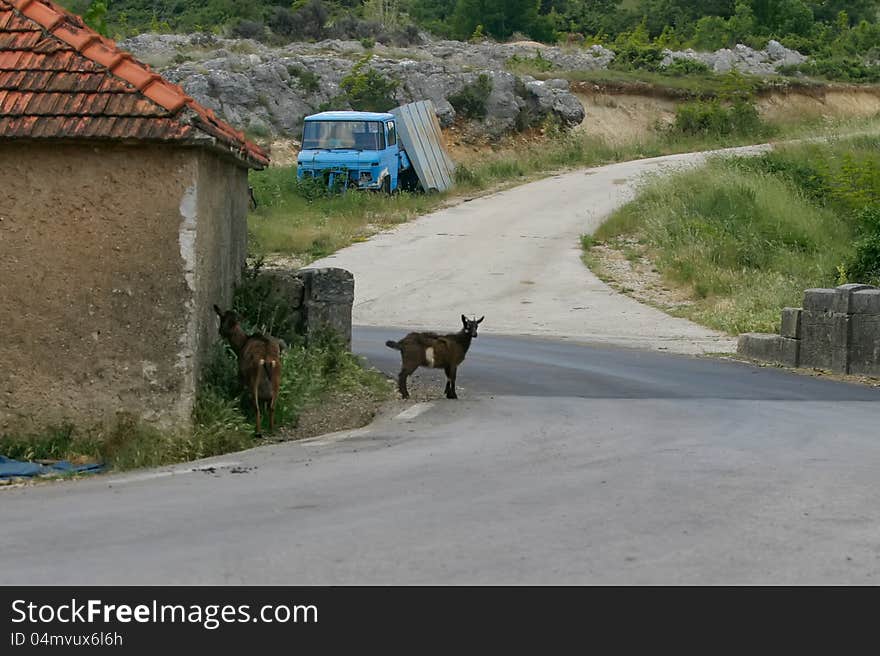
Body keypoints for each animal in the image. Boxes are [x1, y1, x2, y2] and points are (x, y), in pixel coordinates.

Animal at [213, 304, 282, 438]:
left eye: (222, 319)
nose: (220, 332)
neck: (241, 345)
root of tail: (266, 360)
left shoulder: (240, 374)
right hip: (277, 376)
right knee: (271, 406)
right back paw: (271, 429)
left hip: (253, 378)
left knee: (256, 406)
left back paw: (258, 431)